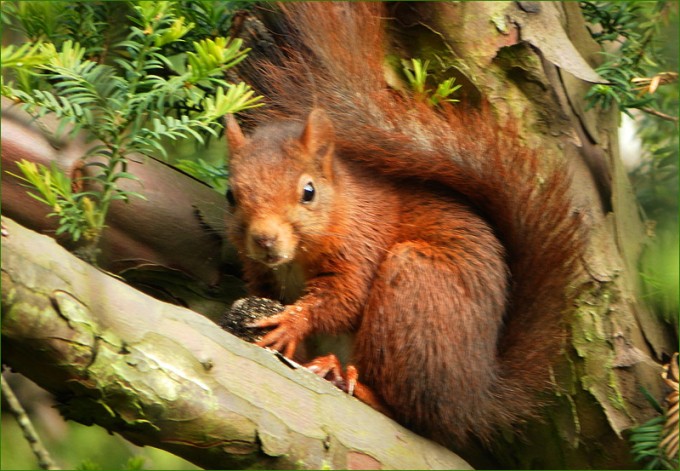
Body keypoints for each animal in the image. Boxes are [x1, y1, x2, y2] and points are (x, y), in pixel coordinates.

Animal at [223, 2, 584, 449]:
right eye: (231, 195)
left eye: (308, 192)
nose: (265, 240)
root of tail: (474, 399)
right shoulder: (263, 274)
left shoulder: (361, 244)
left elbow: (341, 298)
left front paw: (291, 321)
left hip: (413, 289)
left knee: (411, 412)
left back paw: (350, 379)